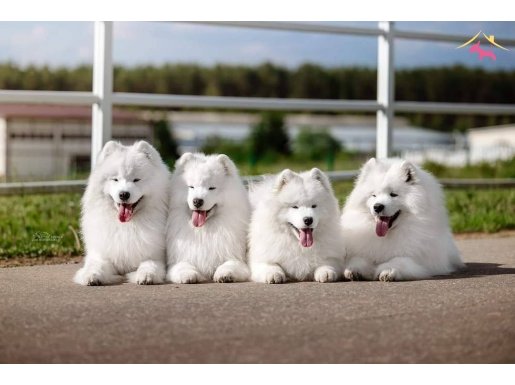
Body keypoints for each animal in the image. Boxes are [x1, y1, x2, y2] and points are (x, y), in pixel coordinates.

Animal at [73, 141, 171, 284]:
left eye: (136, 179)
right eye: (115, 179)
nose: (124, 194)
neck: (126, 225)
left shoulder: (155, 256)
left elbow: (149, 264)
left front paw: (147, 275)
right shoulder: (102, 254)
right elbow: (95, 265)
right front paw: (91, 275)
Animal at [166, 152, 251, 282]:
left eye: (211, 188)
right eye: (191, 187)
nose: (197, 201)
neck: (204, 230)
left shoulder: (236, 258)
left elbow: (230, 264)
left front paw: (225, 274)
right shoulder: (177, 259)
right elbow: (182, 265)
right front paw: (188, 275)